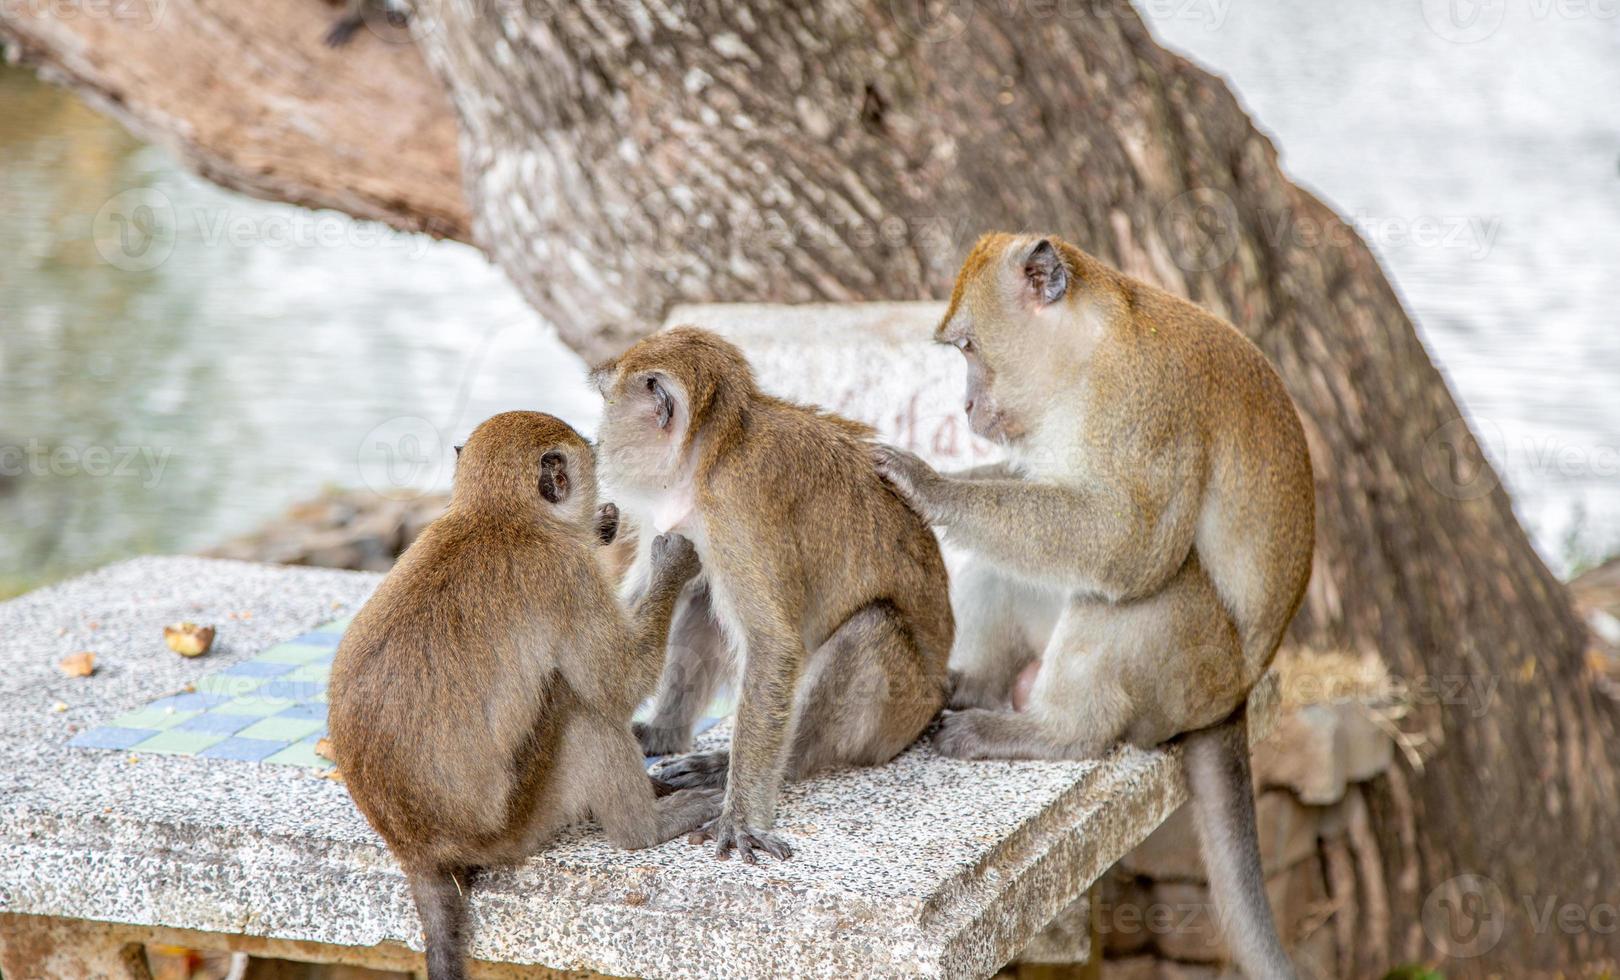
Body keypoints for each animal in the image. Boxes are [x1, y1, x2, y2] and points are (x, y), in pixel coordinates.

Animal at [328, 408, 716, 971]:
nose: (603, 511)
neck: (496, 512)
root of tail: (415, 847)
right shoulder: (569, 573)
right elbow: (617, 684)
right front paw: (674, 560)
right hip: (521, 821)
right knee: (581, 709)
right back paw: (645, 828)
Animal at [592, 330, 946, 861]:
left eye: (605, 401)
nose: (596, 441)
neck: (710, 453)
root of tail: (938, 697)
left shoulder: (733, 511)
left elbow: (773, 645)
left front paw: (741, 818)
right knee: (703, 593)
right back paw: (666, 734)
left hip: (899, 715)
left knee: (872, 628)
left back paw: (747, 764)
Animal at [874, 233, 1315, 971]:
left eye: (967, 347)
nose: (966, 407)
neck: (1092, 352)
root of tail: (1235, 700)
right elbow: (1033, 492)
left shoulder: (1146, 407)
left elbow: (1130, 546)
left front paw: (929, 486)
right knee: (1018, 562)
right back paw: (973, 687)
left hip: (1189, 680)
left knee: (1150, 586)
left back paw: (1056, 732)